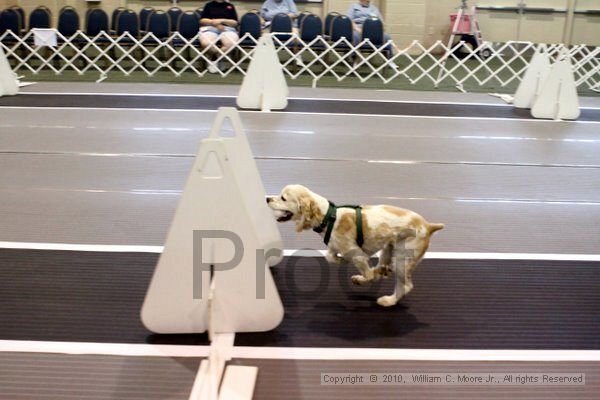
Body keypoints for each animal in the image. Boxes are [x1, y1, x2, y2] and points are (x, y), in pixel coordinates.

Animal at [268, 184, 446, 306]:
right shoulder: (334, 247)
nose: (267, 198)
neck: (329, 217)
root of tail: (428, 226)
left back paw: (388, 300)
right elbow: (330, 257)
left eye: (283, 198)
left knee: (406, 286)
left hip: (402, 259)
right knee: (384, 267)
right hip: (388, 249)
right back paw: (379, 272)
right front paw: (343, 261)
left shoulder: (356, 252)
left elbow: (368, 274)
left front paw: (368, 274)